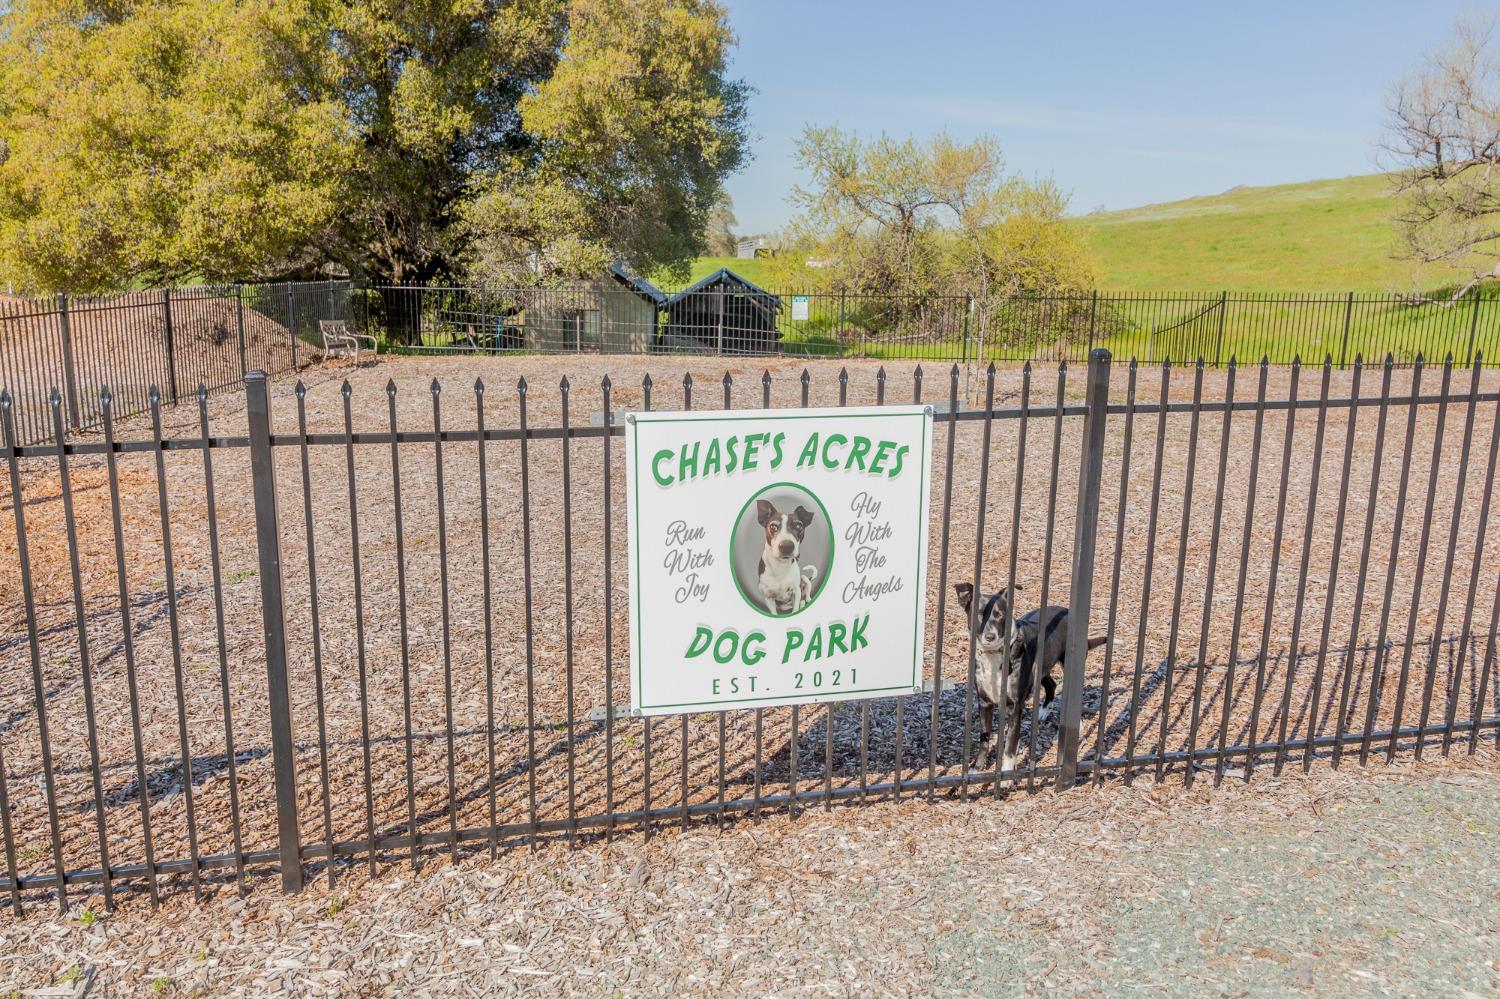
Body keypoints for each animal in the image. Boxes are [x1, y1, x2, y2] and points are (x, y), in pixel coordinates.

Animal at [954, 585, 1110, 768]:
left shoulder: (1015, 706)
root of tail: (1067, 610)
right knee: (1051, 684)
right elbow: (984, 739)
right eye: (979, 614)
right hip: (1042, 667)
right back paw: (1043, 711)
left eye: (1000, 615)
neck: (994, 656)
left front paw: (1006, 773)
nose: (990, 636)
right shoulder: (985, 702)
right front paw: (978, 767)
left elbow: (1010, 746)